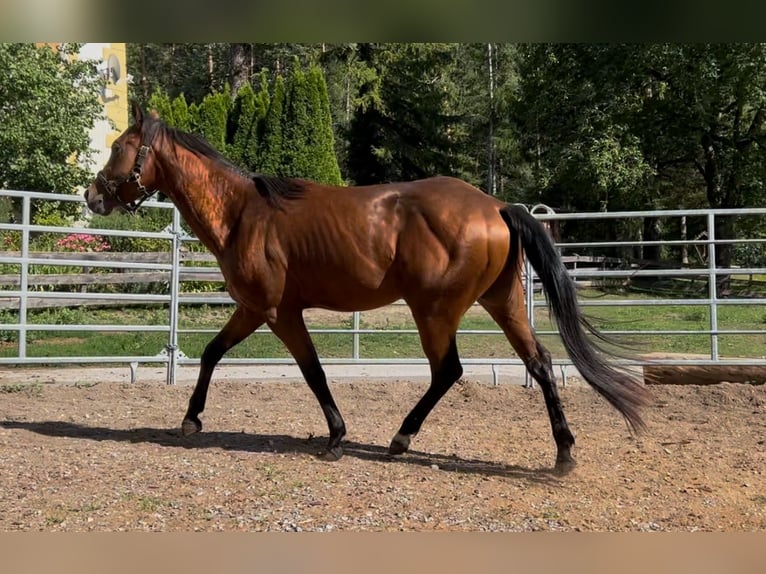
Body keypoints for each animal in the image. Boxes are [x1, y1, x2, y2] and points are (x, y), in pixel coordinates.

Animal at [84, 102, 651, 473]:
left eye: (120, 147)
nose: (93, 195)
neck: (243, 214)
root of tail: (494, 206)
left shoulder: (275, 312)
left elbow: (312, 372)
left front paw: (336, 438)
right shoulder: (253, 310)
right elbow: (210, 353)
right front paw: (191, 420)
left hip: (434, 311)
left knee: (449, 370)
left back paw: (401, 439)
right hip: (502, 302)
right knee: (539, 362)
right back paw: (564, 452)